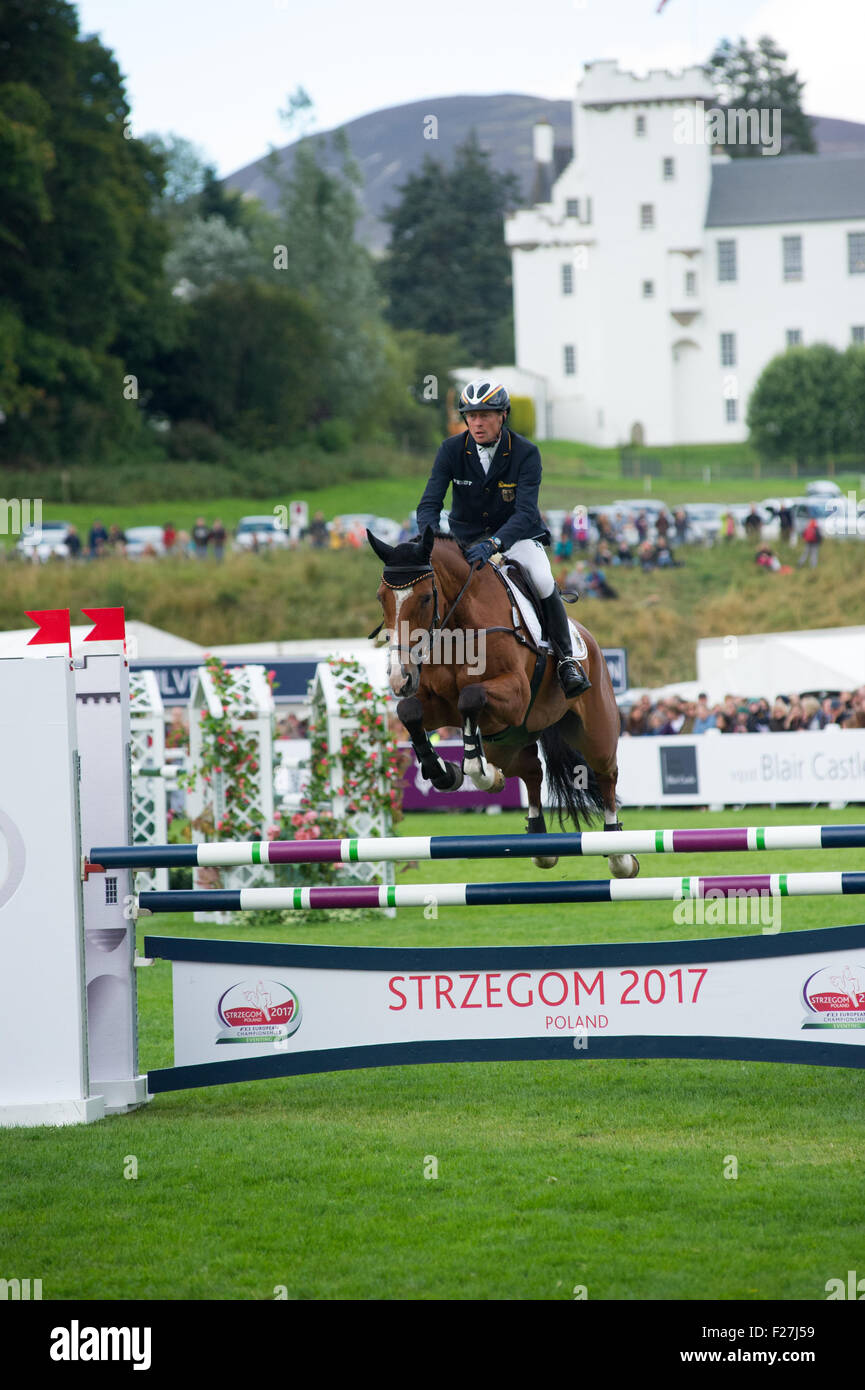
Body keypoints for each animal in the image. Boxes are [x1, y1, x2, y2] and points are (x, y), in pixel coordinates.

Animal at [367, 525, 645, 872]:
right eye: (381, 597)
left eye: (426, 597)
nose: (399, 676)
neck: (456, 631)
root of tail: (588, 638)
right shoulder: (438, 708)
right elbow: (409, 711)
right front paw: (445, 773)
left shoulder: (514, 695)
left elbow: (470, 697)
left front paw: (475, 769)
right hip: (507, 741)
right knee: (531, 771)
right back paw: (534, 833)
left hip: (594, 733)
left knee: (606, 775)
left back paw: (619, 854)